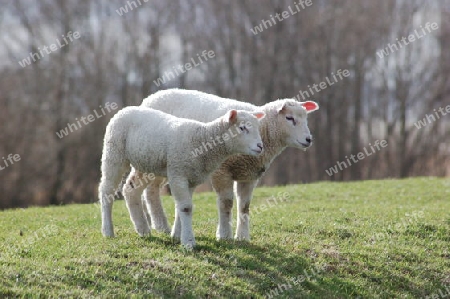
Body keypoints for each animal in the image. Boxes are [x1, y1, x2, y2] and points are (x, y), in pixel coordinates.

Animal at [98, 105, 266, 248]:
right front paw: (188, 242)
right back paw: (108, 231)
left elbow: (181, 207)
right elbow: (186, 208)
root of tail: (125, 109)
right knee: (106, 190)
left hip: (144, 163)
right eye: (242, 128)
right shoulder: (178, 173)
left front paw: (177, 235)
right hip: (114, 152)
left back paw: (143, 229)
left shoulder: (190, 178)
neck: (202, 139)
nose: (260, 146)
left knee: (130, 190)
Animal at [139, 88, 318, 241]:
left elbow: (244, 206)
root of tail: (151, 97)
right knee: (151, 191)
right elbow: (226, 203)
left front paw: (243, 237)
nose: (309, 139)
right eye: (289, 118)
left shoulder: (249, 175)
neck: (265, 131)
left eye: (306, 118)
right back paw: (160, 225)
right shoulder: (222, 171)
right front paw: (224, 235)